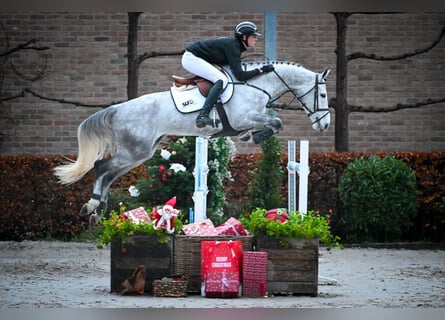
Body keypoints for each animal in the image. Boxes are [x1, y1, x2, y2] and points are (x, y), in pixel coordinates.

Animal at [53, 59, 330, 225]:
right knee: (101, 167)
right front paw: (254, 135)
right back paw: (91, 206)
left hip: (140, 152)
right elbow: (277, 122)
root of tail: (119, 108)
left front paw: (250, 135)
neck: (256, 86)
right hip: (133, 151)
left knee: (109, 174)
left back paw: (98, 211)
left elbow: (273, 123)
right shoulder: (244, 117)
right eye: (324, 94)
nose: (324, 125)